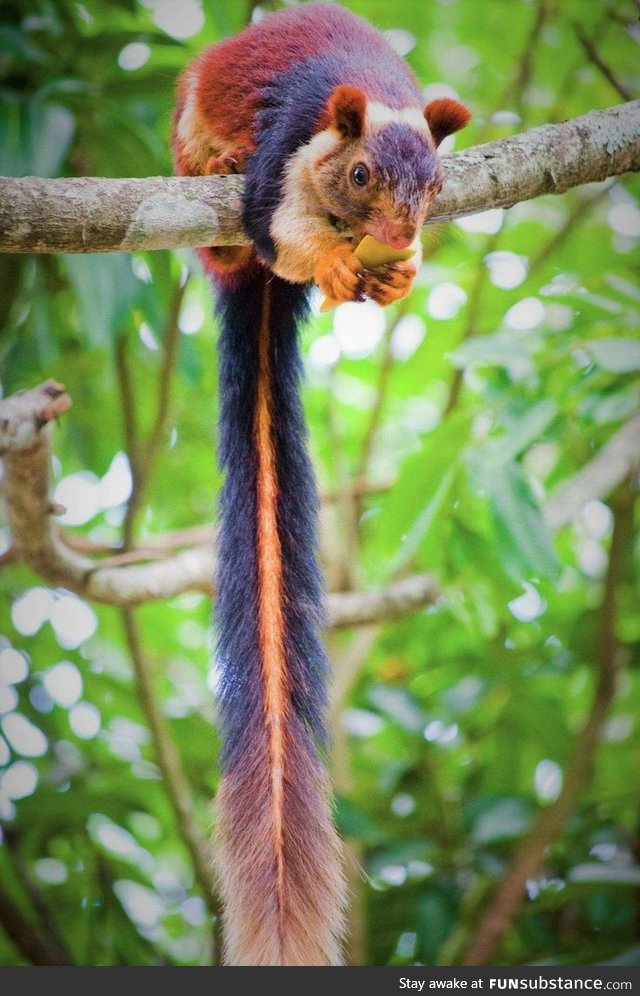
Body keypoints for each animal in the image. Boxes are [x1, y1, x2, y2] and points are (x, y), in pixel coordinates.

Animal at [173, 2, 469, 967]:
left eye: (438, 187)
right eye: (362, 172)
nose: (402, 236)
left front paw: (401, 274)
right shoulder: (285, 157)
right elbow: (281, 232)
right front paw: (337, 267)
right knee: (235, 236)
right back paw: (214, 176)